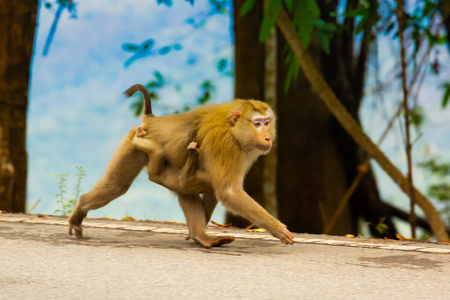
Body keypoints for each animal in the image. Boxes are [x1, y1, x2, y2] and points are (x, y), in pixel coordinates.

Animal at [67, 83, 296, 247]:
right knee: (124, 184)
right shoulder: (226, 146)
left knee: (122, 185)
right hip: (134, 142)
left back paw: (201, 235)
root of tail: (153, 120)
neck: (233, 129)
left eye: (267, 122)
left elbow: (217, 190)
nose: (267, 137)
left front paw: (196, 231)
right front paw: (277, 229)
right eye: (257, 124)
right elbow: (229, 191)